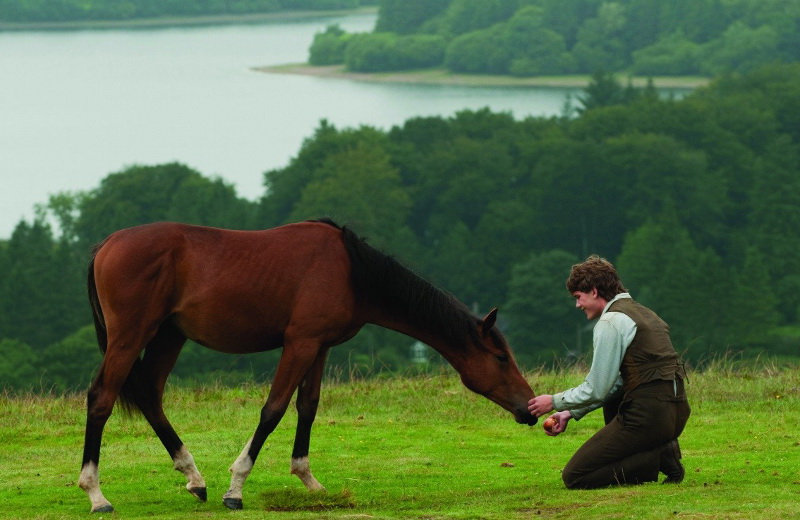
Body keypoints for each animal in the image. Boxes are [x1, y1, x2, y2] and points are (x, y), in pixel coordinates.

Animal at [79, 218, 536, 512]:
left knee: (151, 397)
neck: (350, 270)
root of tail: (105, 245)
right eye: (500, 358)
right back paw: (96, 493)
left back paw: (194, 477)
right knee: (101, 398)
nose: (529, 408)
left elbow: (307, 408)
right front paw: (236, 487)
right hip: (131, 336)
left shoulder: (320, 347)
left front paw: (308, 479)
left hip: (168, 336)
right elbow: (273, 410)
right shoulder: (299, 344)